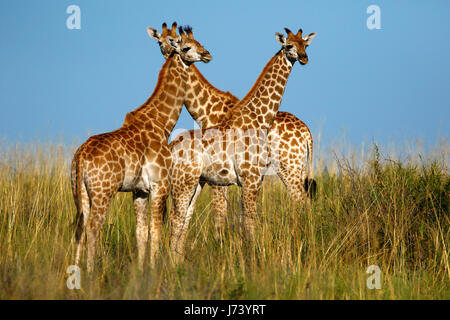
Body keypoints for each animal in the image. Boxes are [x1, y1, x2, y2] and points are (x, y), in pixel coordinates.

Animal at [71, 22, 212, 272]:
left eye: (199, 42)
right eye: (186, 47)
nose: (207, 54)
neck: (161, 122)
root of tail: (79, 158)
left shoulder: (139, 191)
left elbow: (141, 233)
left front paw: (140, 271)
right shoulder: (159, 185)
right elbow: (155, 231)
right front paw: (154, 271)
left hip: (81, 194)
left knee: (80, 229)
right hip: (103, 192)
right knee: (94, 228)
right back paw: (91, 273)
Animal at [149, 25, 316, 240]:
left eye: (305, 45)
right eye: (159, 43)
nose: (304, 57)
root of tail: (306, 132)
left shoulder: (242, 180)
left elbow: (231, 217)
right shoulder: (238, 180)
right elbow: (233, 217)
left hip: (289, 168)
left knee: (301, 201)